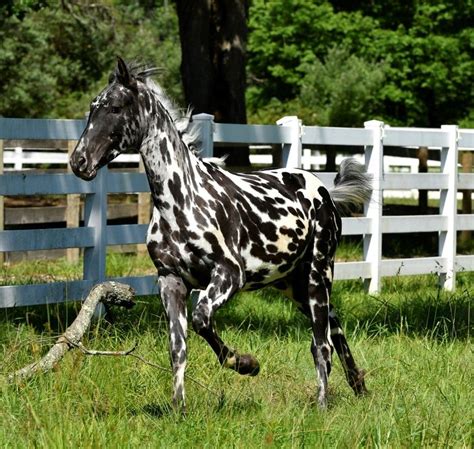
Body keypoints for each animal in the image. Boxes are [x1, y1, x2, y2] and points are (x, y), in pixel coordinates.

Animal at [70, 56, 372, 410]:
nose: (79, 161)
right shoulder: (170, 281)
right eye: (93, 107)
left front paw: (246, 363)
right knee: (335, 331)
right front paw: (178, 408)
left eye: (116, 108)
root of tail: (324, 191)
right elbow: (178, 348)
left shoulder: (228, 275)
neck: (181, 199)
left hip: (317, 277)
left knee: (321, 343)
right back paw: (359, 385)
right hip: (294, 286)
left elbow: (202, 319)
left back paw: (323, 403)